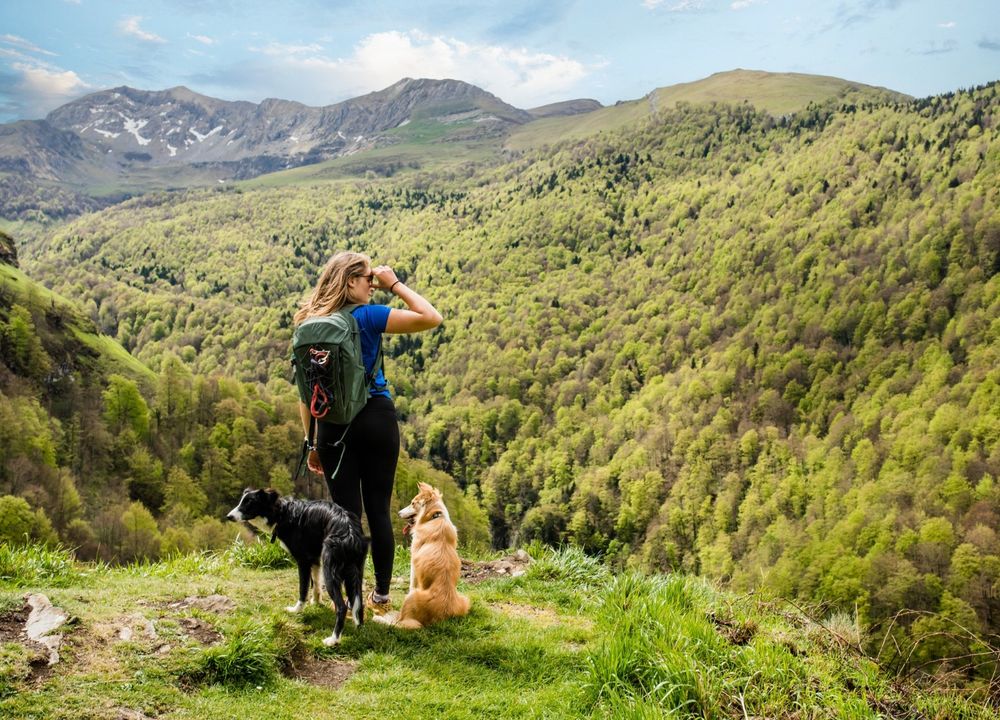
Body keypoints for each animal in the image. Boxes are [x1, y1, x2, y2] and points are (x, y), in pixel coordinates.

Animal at [376, 484, 472, 632]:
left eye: (412, 503)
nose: (398, 513)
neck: (435, 516)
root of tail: (442, 616)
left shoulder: (413, 562)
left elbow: (411, 583)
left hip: (412, 598)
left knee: (398, 623)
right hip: (464, 599)